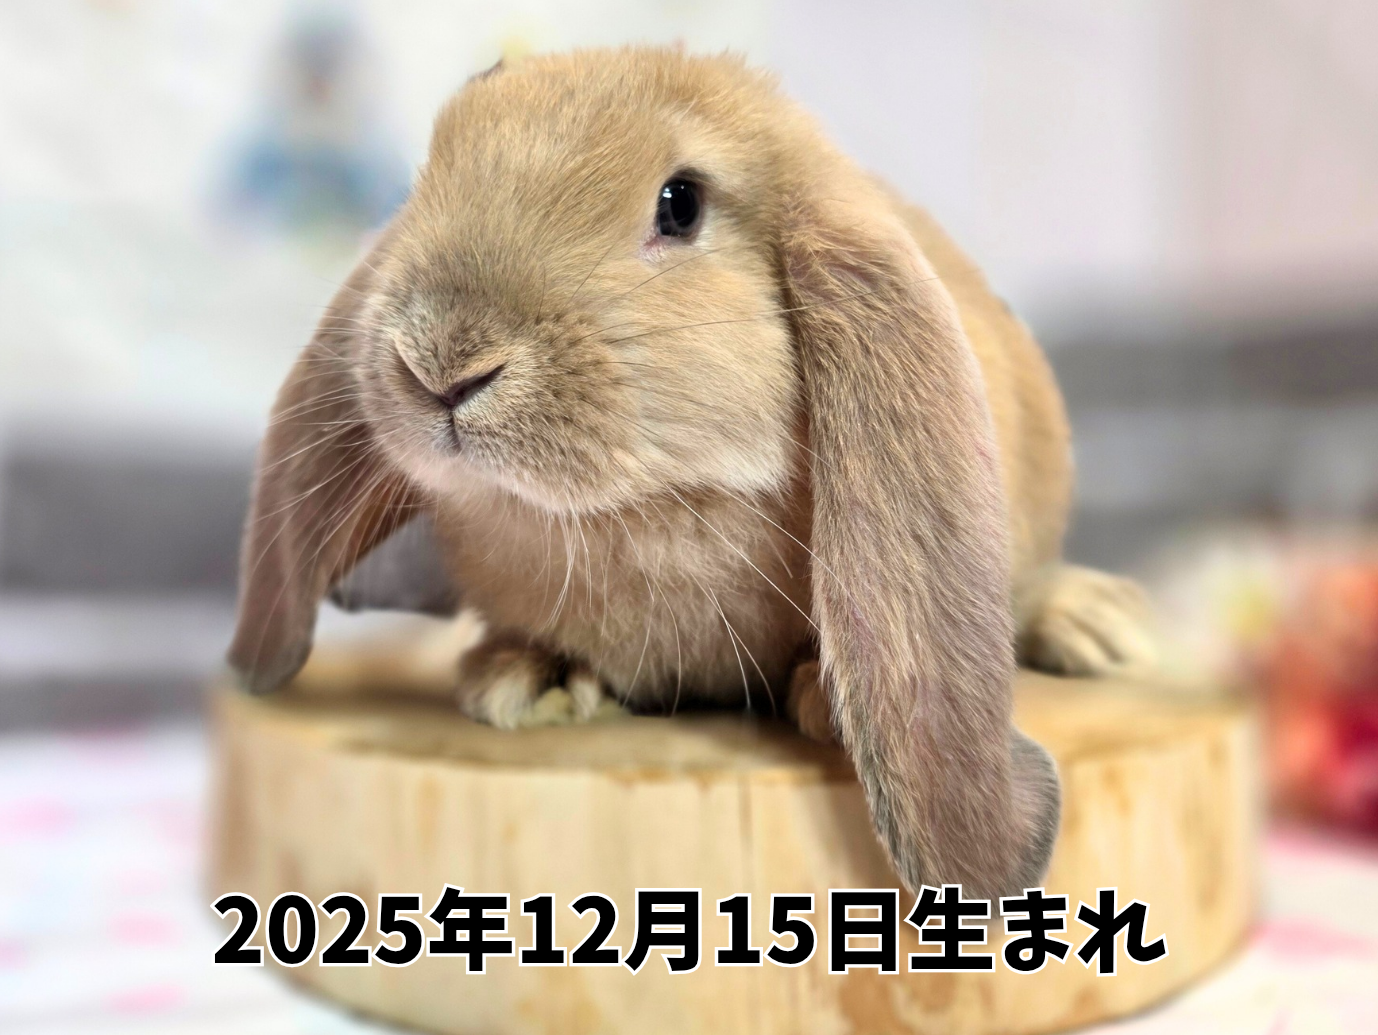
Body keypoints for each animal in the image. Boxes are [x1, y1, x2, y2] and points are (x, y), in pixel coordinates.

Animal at [227, 47, 1155, 900]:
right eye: (433, 173)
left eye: (680, 204)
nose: (441, 363)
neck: (645, 513)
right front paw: (526, 679)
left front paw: (824, 699)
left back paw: (1097, 626)